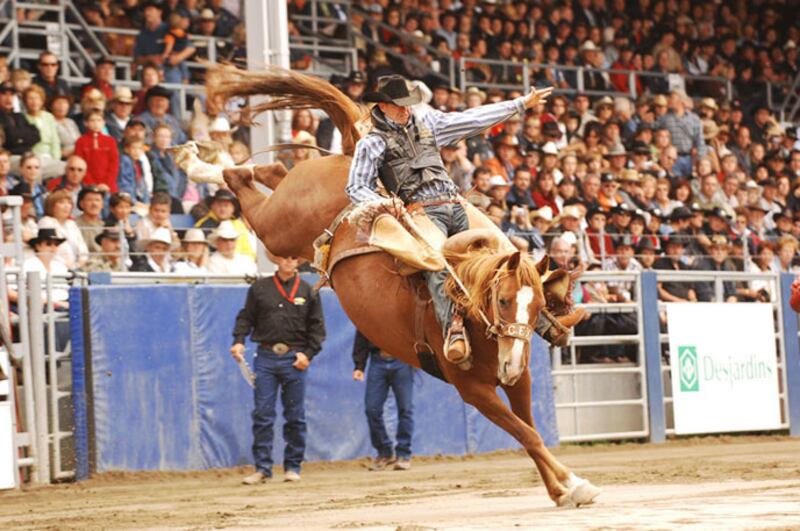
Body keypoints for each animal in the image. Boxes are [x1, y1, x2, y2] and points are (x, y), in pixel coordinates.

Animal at [183, 65, 600, 506]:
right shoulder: (473, 390)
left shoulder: (519, 380)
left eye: (536, 306)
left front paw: (561, 488)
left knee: (270, 173)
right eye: (502, 301)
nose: (511, 362)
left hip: (285, 207)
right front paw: (573, 484)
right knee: (239, 180)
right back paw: (197, 159)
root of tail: (353, 152)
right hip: (278, 226)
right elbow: (527, 434)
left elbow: (530, 431)